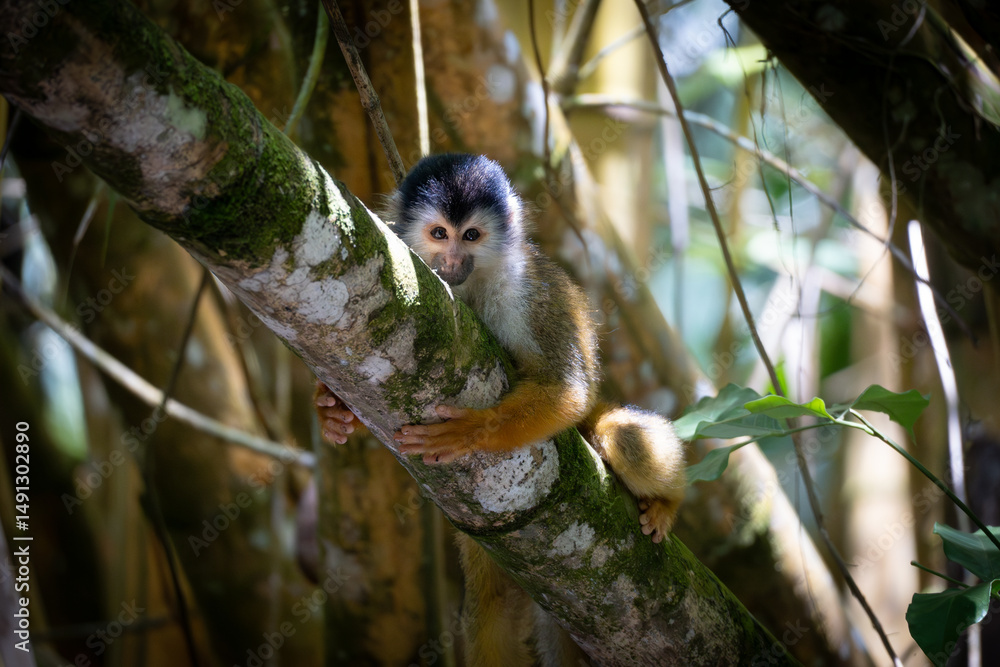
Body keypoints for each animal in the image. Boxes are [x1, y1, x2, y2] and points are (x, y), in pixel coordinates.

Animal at [315, 153, 686, 665]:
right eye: (439, 234)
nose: (452, 261)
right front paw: (333, 410)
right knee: (489, 609)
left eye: (471, 235)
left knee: (618, 433)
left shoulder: (526, 292)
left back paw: (667, 502)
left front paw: (469, 432)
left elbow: (568, 390)